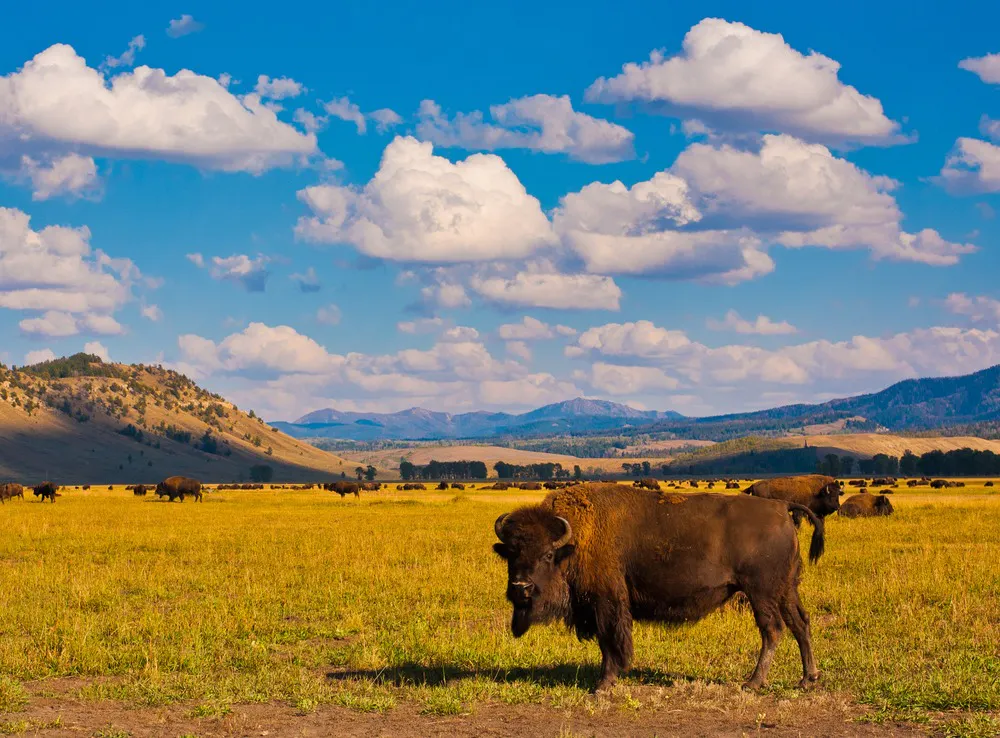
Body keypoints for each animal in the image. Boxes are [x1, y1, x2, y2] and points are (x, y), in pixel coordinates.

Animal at [493, 484, 823, 693]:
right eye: (511, 553)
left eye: (547, 555)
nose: (521, 587)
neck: (574, 541)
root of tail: (781, 507)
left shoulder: (606, 602)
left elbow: (610, 640)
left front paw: (603, 684)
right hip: (785, 589)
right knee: (800, 624)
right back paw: (807, 680)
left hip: (761, 592)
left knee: (773, 629)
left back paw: (753, 683)